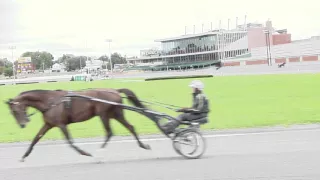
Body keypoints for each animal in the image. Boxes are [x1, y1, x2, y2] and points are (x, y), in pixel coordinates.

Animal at [5, 88, 158, 162]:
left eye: (14, 110)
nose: (22, 124)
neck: (50, 101)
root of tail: (114, 90)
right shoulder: (49, 124)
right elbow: (35, 139)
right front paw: (24, 156)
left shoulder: (61, 124)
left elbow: (70, 142)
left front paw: (85, 153)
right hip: (116, 114)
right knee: (130, 127)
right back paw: (144, 145)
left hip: (104, 115)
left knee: (109, 132)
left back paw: (99, 155)